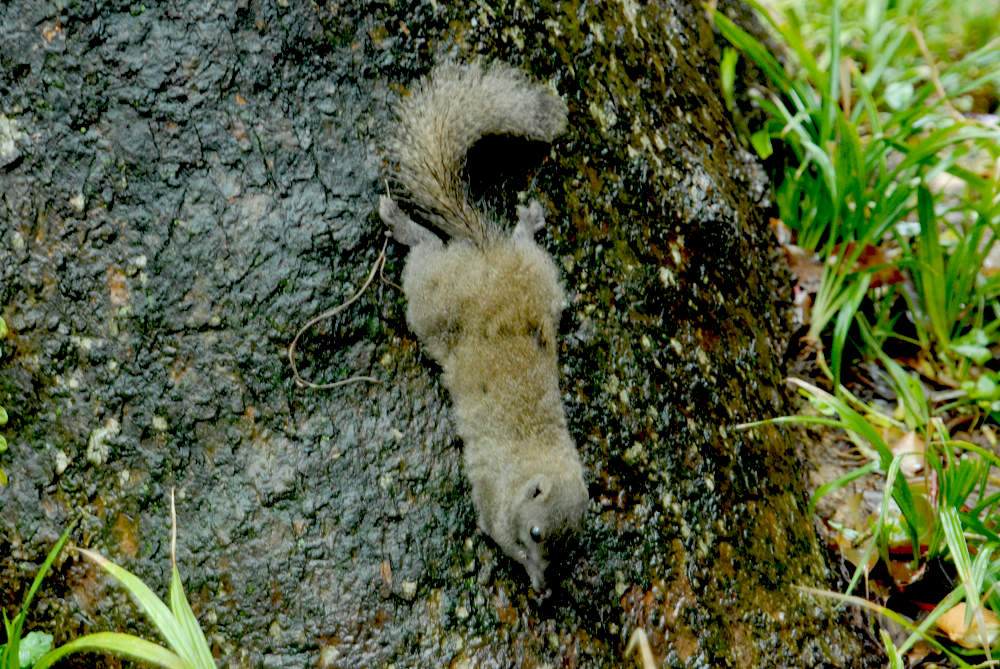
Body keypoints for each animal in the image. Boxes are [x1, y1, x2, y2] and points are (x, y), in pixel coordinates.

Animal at [380, 61, 584, 588]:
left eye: (568, 551)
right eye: (536, 533)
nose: (542, 589)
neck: (533, 458)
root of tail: (489, 255)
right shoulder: (492, 501)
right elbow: (492, 529)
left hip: (541, 277)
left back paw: (526, 223)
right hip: (430, 300)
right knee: (427, 249)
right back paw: (400, 221)